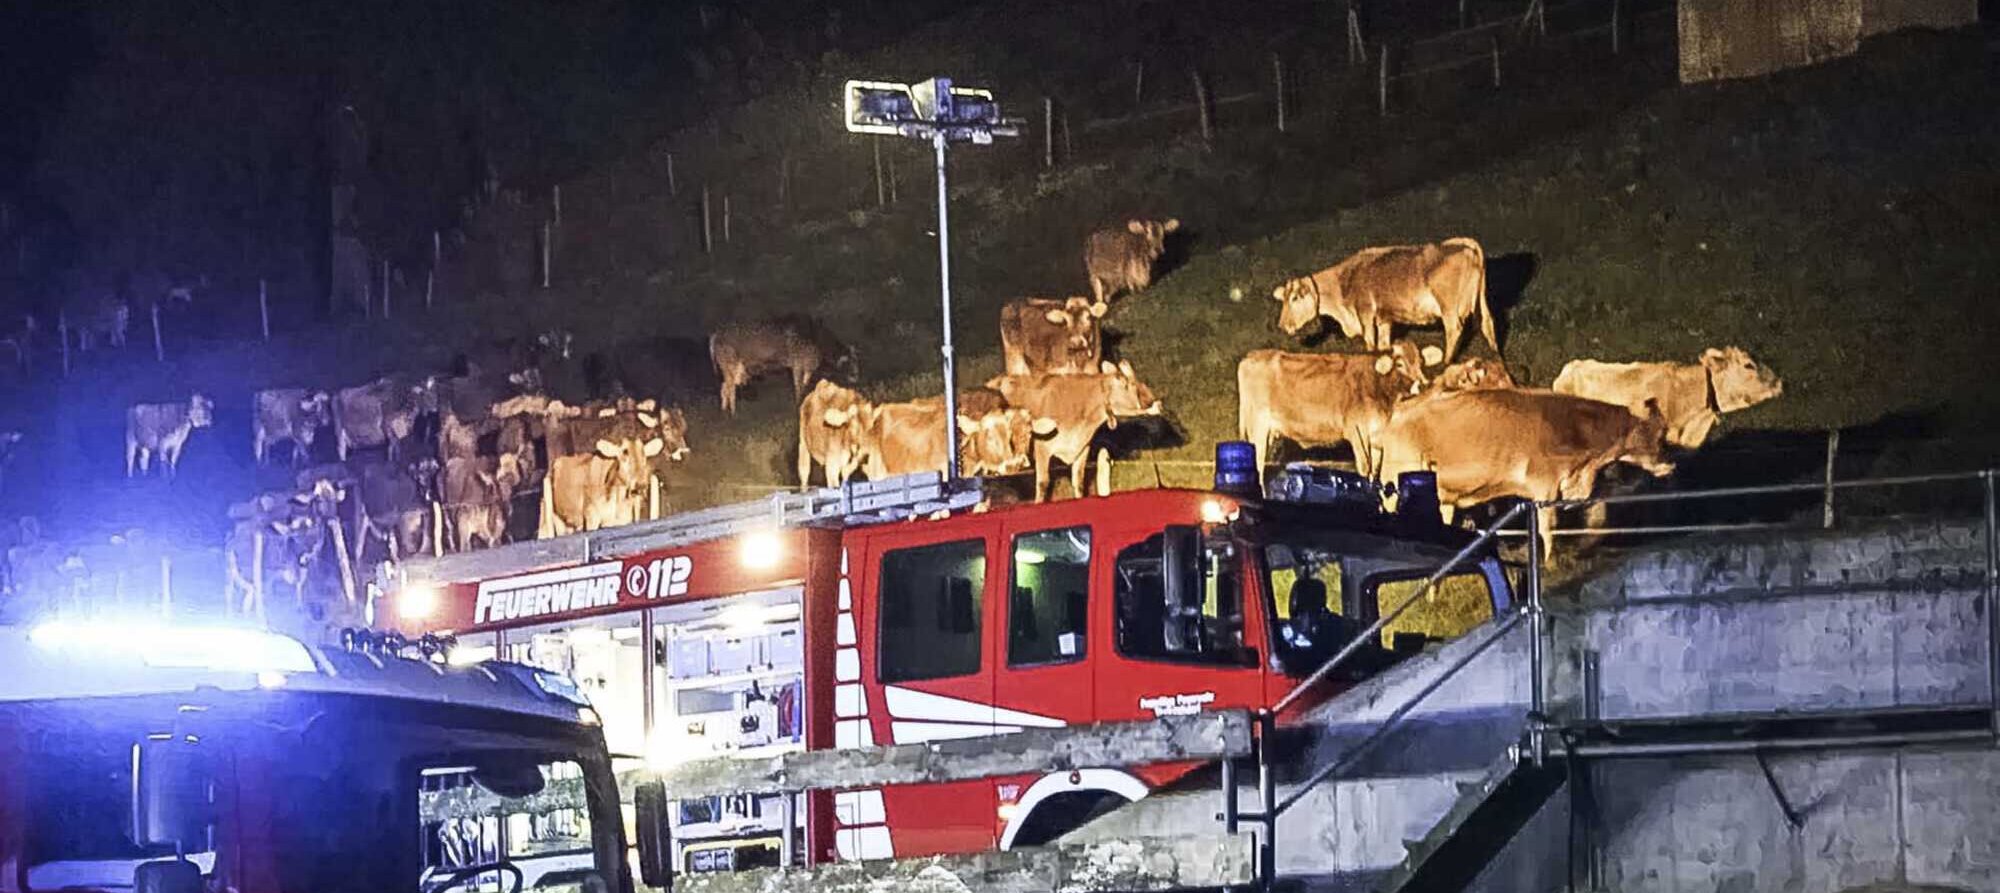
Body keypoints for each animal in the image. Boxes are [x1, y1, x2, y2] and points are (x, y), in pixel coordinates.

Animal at [988, 360, 1168, 502]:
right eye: (1131, 386)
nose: (1158, 403)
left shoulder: (1082, 449)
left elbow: (1079, 482)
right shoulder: (1042, 448)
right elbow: (1043, 484)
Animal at [1232, 342, 1440, 480]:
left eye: (1421, 361)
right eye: (1399, 364)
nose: (1423, 384)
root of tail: (1251, 357)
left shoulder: (1375, 437)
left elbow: (1375, 471)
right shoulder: (1357, 434)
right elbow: (1365, 469)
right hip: (1258, 426)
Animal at [1272, 239, 1496, 364]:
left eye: (1295, 298)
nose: (1281, 325)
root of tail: (1463, 246)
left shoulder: (1365, 314)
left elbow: (1371, 344)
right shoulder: (1384, 319)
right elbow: (1384, 344)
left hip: (1448, 307)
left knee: (1453, 330)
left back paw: (1446, 363)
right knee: (1488, 326)